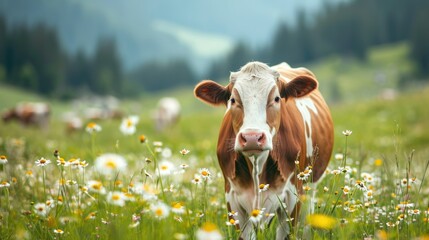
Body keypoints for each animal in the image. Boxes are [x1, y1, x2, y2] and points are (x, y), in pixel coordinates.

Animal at [192, 61, 332, 239]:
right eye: (233, 100)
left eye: (277, 98)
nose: (252, 137)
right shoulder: (233, 198)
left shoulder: (292, 196)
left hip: (310, 186)